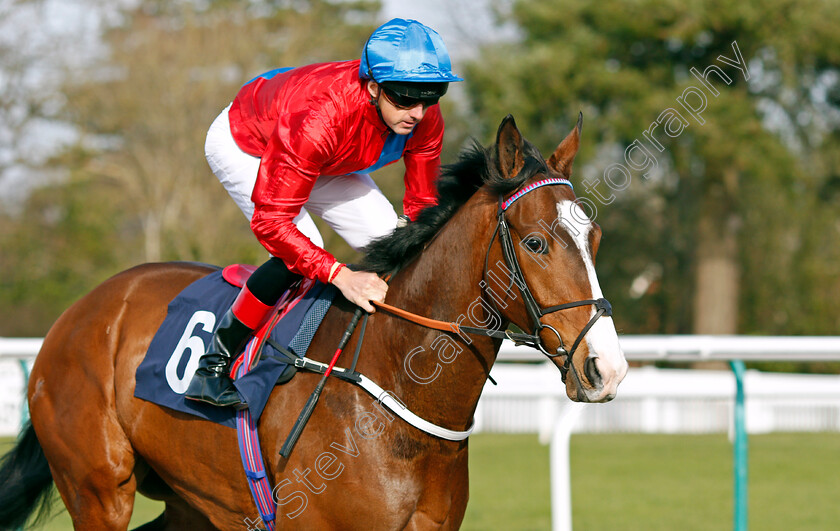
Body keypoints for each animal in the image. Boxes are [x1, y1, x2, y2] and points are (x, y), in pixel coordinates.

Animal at [0, 116, 628, 531]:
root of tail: (80, 311)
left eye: (595, 237)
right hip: (98, 489)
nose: (608, 369)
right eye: (536, 243)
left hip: (191, 501)